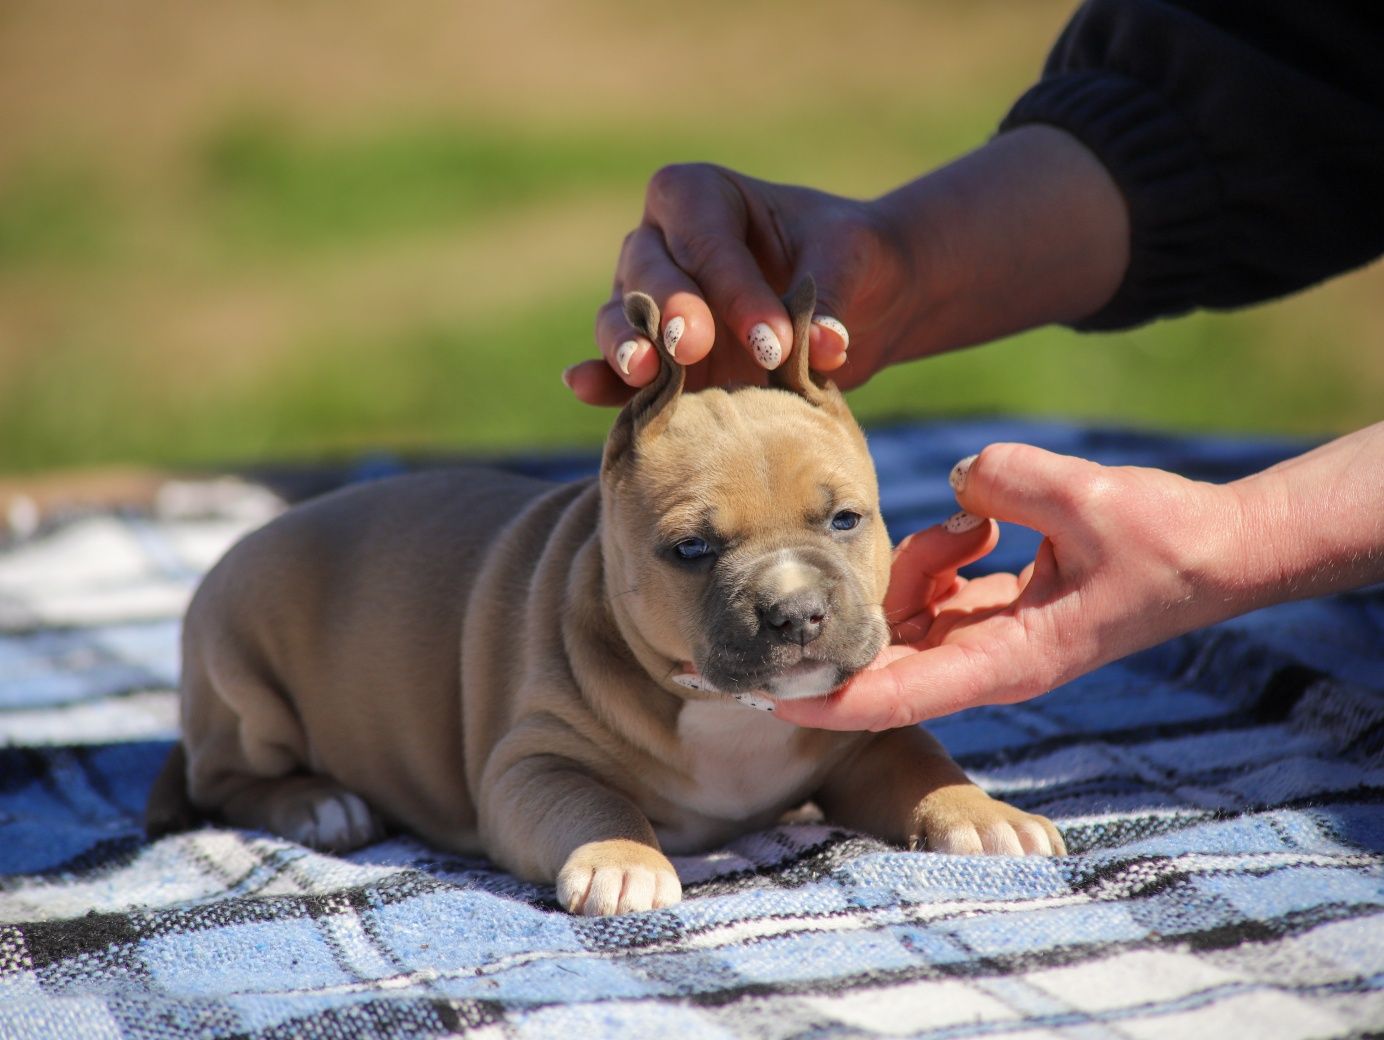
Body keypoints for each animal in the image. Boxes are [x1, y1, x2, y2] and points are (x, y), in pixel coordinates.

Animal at [148, 281, 1057, 913]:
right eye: (691, 551)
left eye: (845, 520)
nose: (798, 612)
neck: (725, 710)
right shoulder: (532, 763)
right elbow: (593, 801)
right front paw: (624, 860)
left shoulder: (863, 736)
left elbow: (916, 757)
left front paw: (982, 813)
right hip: (239, 674)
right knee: (223, 780)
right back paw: (320, 805)